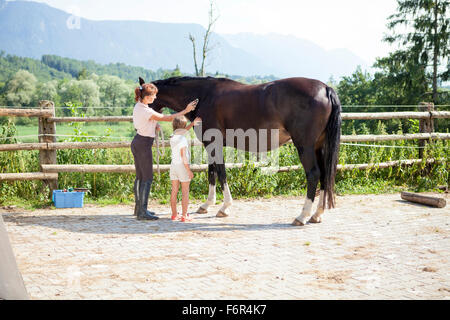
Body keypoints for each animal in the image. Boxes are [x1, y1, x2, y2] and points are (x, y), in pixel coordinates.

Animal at [142, 75, 342, 226]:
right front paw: (206, 205)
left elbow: (221, 172)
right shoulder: (211, 144)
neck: (203, 95)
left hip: (305, 146)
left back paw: (302, 216)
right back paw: (317, 215)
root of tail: (326, 89)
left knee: (313, 174)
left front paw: (224, 207)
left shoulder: (214, 142)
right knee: (324, 174)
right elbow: (212, 172)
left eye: (142, 97)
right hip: (318, 146)